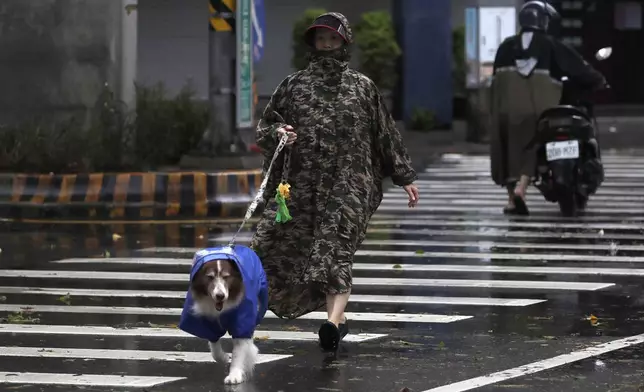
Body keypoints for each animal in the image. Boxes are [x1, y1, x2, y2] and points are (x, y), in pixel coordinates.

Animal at [177, 247, 268, 384]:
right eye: (210, 277)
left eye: (226, 277)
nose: (220, 296)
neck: (221, 309)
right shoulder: (206, 322)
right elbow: (213, 345)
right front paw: (223, 357)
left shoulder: (242, 321)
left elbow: (239, 349)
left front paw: (234, 375)